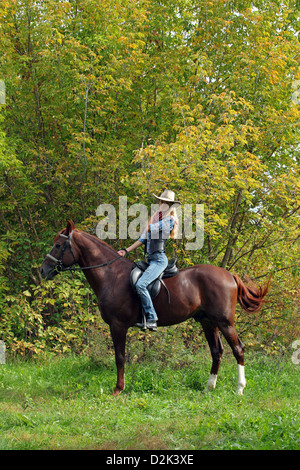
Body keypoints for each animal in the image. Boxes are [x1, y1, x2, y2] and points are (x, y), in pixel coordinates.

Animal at [40, 220, 270, 392]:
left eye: (58, 246)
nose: (43, 270)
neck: (111, 275)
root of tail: (229, 275)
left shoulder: (117, 325)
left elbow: (120, 357)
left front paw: (118, 389)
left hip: (224, 322)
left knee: (238, 349)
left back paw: (240, 388)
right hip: (207, 322)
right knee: (217, 351)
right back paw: (209, 387)